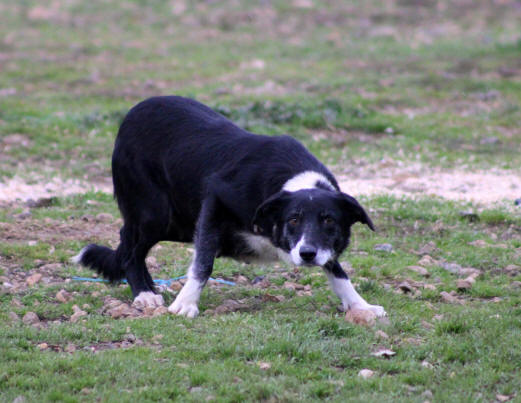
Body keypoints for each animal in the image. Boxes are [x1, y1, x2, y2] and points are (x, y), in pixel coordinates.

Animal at [73, 97, 384, 318]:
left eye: (329, 220)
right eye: (293, 220)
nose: (307, 254)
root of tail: (132, 113)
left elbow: (337, 270)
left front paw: (360, 305)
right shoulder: (215, 201)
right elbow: (203, 263)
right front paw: (186, 303)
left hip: (180, 223)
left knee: (128, 240)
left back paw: (149, 287)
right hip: (156, 215)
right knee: (131, 249)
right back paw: (143, 293)